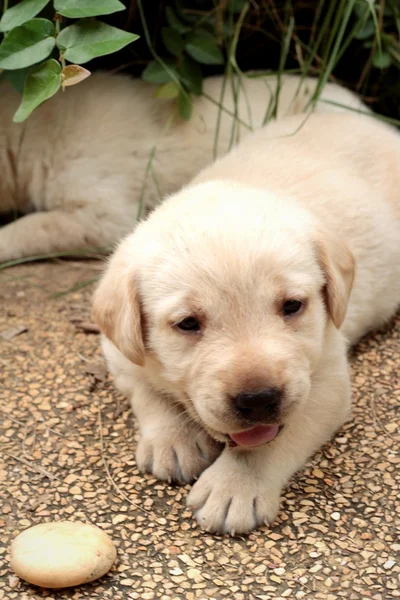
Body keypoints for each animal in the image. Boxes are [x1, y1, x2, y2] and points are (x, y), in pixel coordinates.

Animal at [91, 109, 400, 536]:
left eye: (292, 305)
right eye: (188, 324)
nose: (259, 400)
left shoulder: (327, 377)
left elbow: (274, 438)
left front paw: (235, 485)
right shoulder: (118, 349)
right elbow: (148, 392)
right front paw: (174, 439)